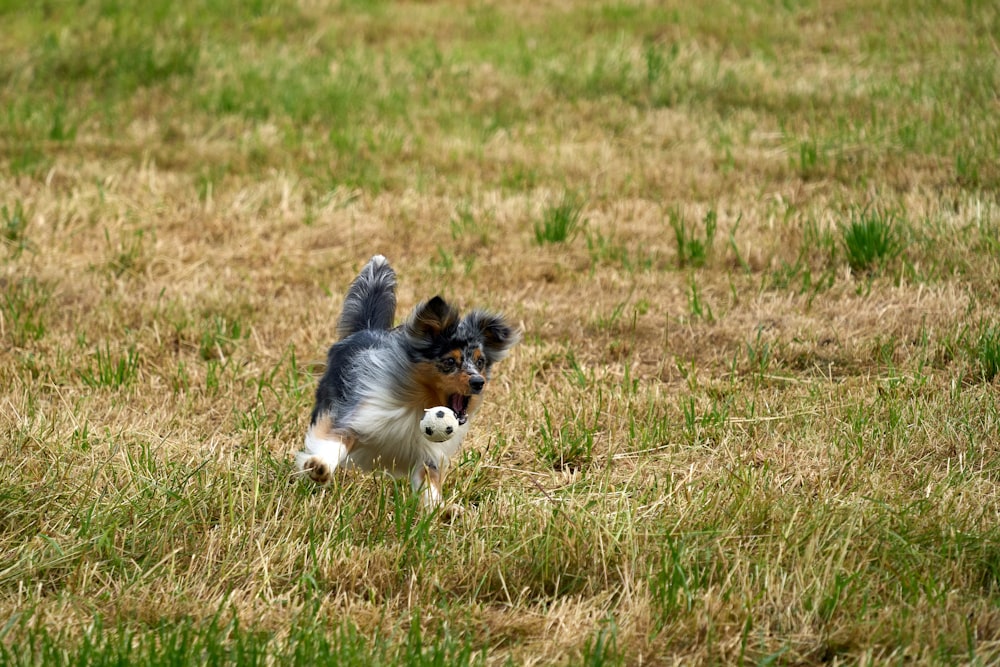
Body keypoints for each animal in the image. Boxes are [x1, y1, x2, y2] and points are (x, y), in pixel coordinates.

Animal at [292, 258, 520, 508]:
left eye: (480, 362)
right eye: (450, 361)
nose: (479, 382)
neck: (418, 404)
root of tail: (365, 329)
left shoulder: (428, 456)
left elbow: (430, 486)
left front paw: (442, 510)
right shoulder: (356, 418)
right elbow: (334, 442)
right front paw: (319, 467)